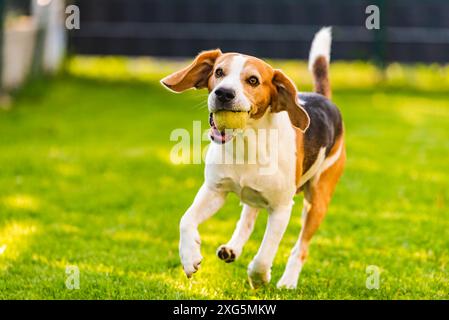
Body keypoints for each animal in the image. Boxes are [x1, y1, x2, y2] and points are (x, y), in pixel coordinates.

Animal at [162, 26, 346, 288]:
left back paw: (288, 280)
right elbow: (186, 220)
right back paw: (232, 248)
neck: (246, 144)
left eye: (253, 81)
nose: (223, 93)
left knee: (301, 247)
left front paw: (259, 277)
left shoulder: (281, 209)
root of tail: (324, 98)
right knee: (247, 217)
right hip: (254, 193)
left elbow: (265, 253)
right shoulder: (214, 190)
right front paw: (189, 257)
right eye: (219, 72)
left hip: (317, 201)